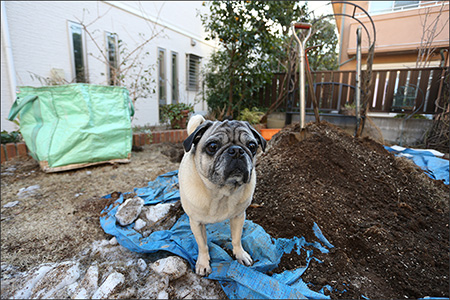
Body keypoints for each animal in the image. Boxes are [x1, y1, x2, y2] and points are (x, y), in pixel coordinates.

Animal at [178, 115, 266, 276]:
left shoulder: (238, 217)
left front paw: (240, 254)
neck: (222, 192)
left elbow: (236, 239)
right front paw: (203, 263)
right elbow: (202, 246)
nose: (237, 150)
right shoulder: (196, 223)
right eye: (212, 146)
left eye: (252, 146)